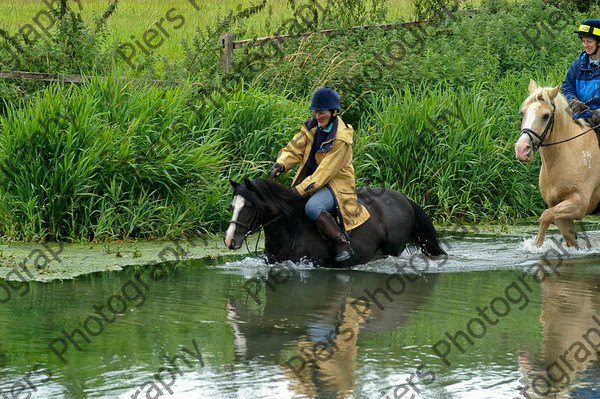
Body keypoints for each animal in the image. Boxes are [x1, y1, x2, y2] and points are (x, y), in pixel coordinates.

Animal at [224, 179, 446, 268]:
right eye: (232, 205)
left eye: (249, 206)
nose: (229, 241)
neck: (290, 229)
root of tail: (404, 199)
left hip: (393, 249)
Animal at [512, 79, 600, 247]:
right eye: (523, 113)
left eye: (546, 116)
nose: (522, 149)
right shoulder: (556, 207)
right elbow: (568, 237)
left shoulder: (578, 204)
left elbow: (545, 216)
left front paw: (536, 246)